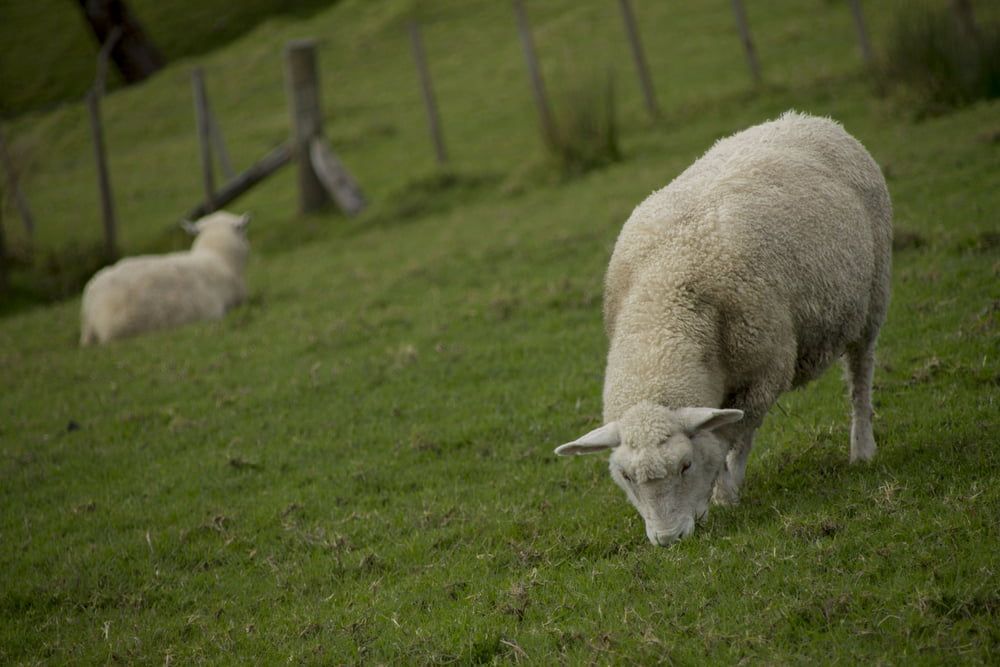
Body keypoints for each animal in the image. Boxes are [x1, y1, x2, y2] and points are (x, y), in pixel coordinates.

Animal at [554, 111, 892, 546]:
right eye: (626, 477)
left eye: (685, 466)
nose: (669, 540)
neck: (663, 305)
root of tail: (808, 118)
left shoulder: (764, 373)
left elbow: (737, 433)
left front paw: (726, 492)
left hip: (873, 297)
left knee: (860, 375)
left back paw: (862, 447)